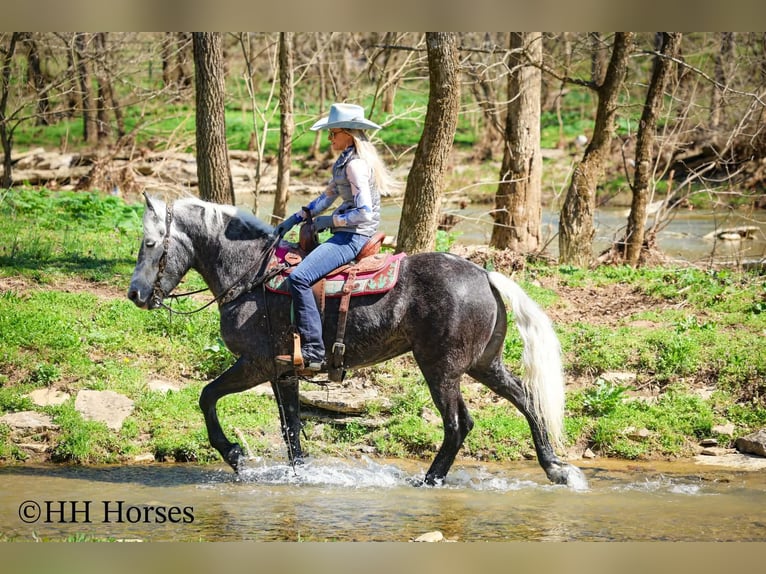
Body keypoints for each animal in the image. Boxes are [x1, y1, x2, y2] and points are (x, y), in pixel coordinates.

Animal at [127, 193, 587, 488]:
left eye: (149, 244)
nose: (135, 294)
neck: (252, 274)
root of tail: (484, 275)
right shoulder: (283, 372)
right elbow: (291, 429)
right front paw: (300, 475)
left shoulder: (256, 365)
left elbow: (207, 396)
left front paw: (235, 455)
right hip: (483, 365)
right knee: (527, 401)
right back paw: (556, 468)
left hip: (441, 369)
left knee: (459, 424)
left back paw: (430, 480)